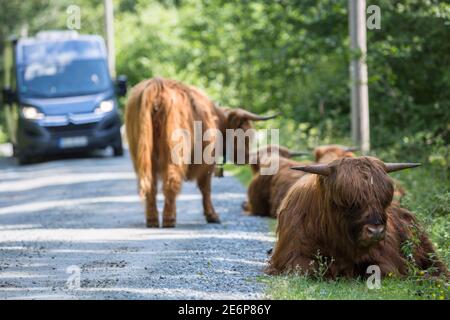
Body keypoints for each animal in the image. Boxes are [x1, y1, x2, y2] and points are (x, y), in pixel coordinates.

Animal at [125, 77, 276, 228]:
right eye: (245, 134)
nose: (246, 157)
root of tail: (157, 84)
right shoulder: (208, 162)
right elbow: (206, 189)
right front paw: (212, 216)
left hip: (141, 152)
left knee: (149, 184)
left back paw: (152, 220)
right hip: (174, 152)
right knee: (171, 180)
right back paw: (169, 219)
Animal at [268, 157, 446, 278]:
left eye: (383, 200)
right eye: (349, 202)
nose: (376, 231)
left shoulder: (386, 258)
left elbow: (380, 270)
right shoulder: (290, 256)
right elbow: (308, 268)